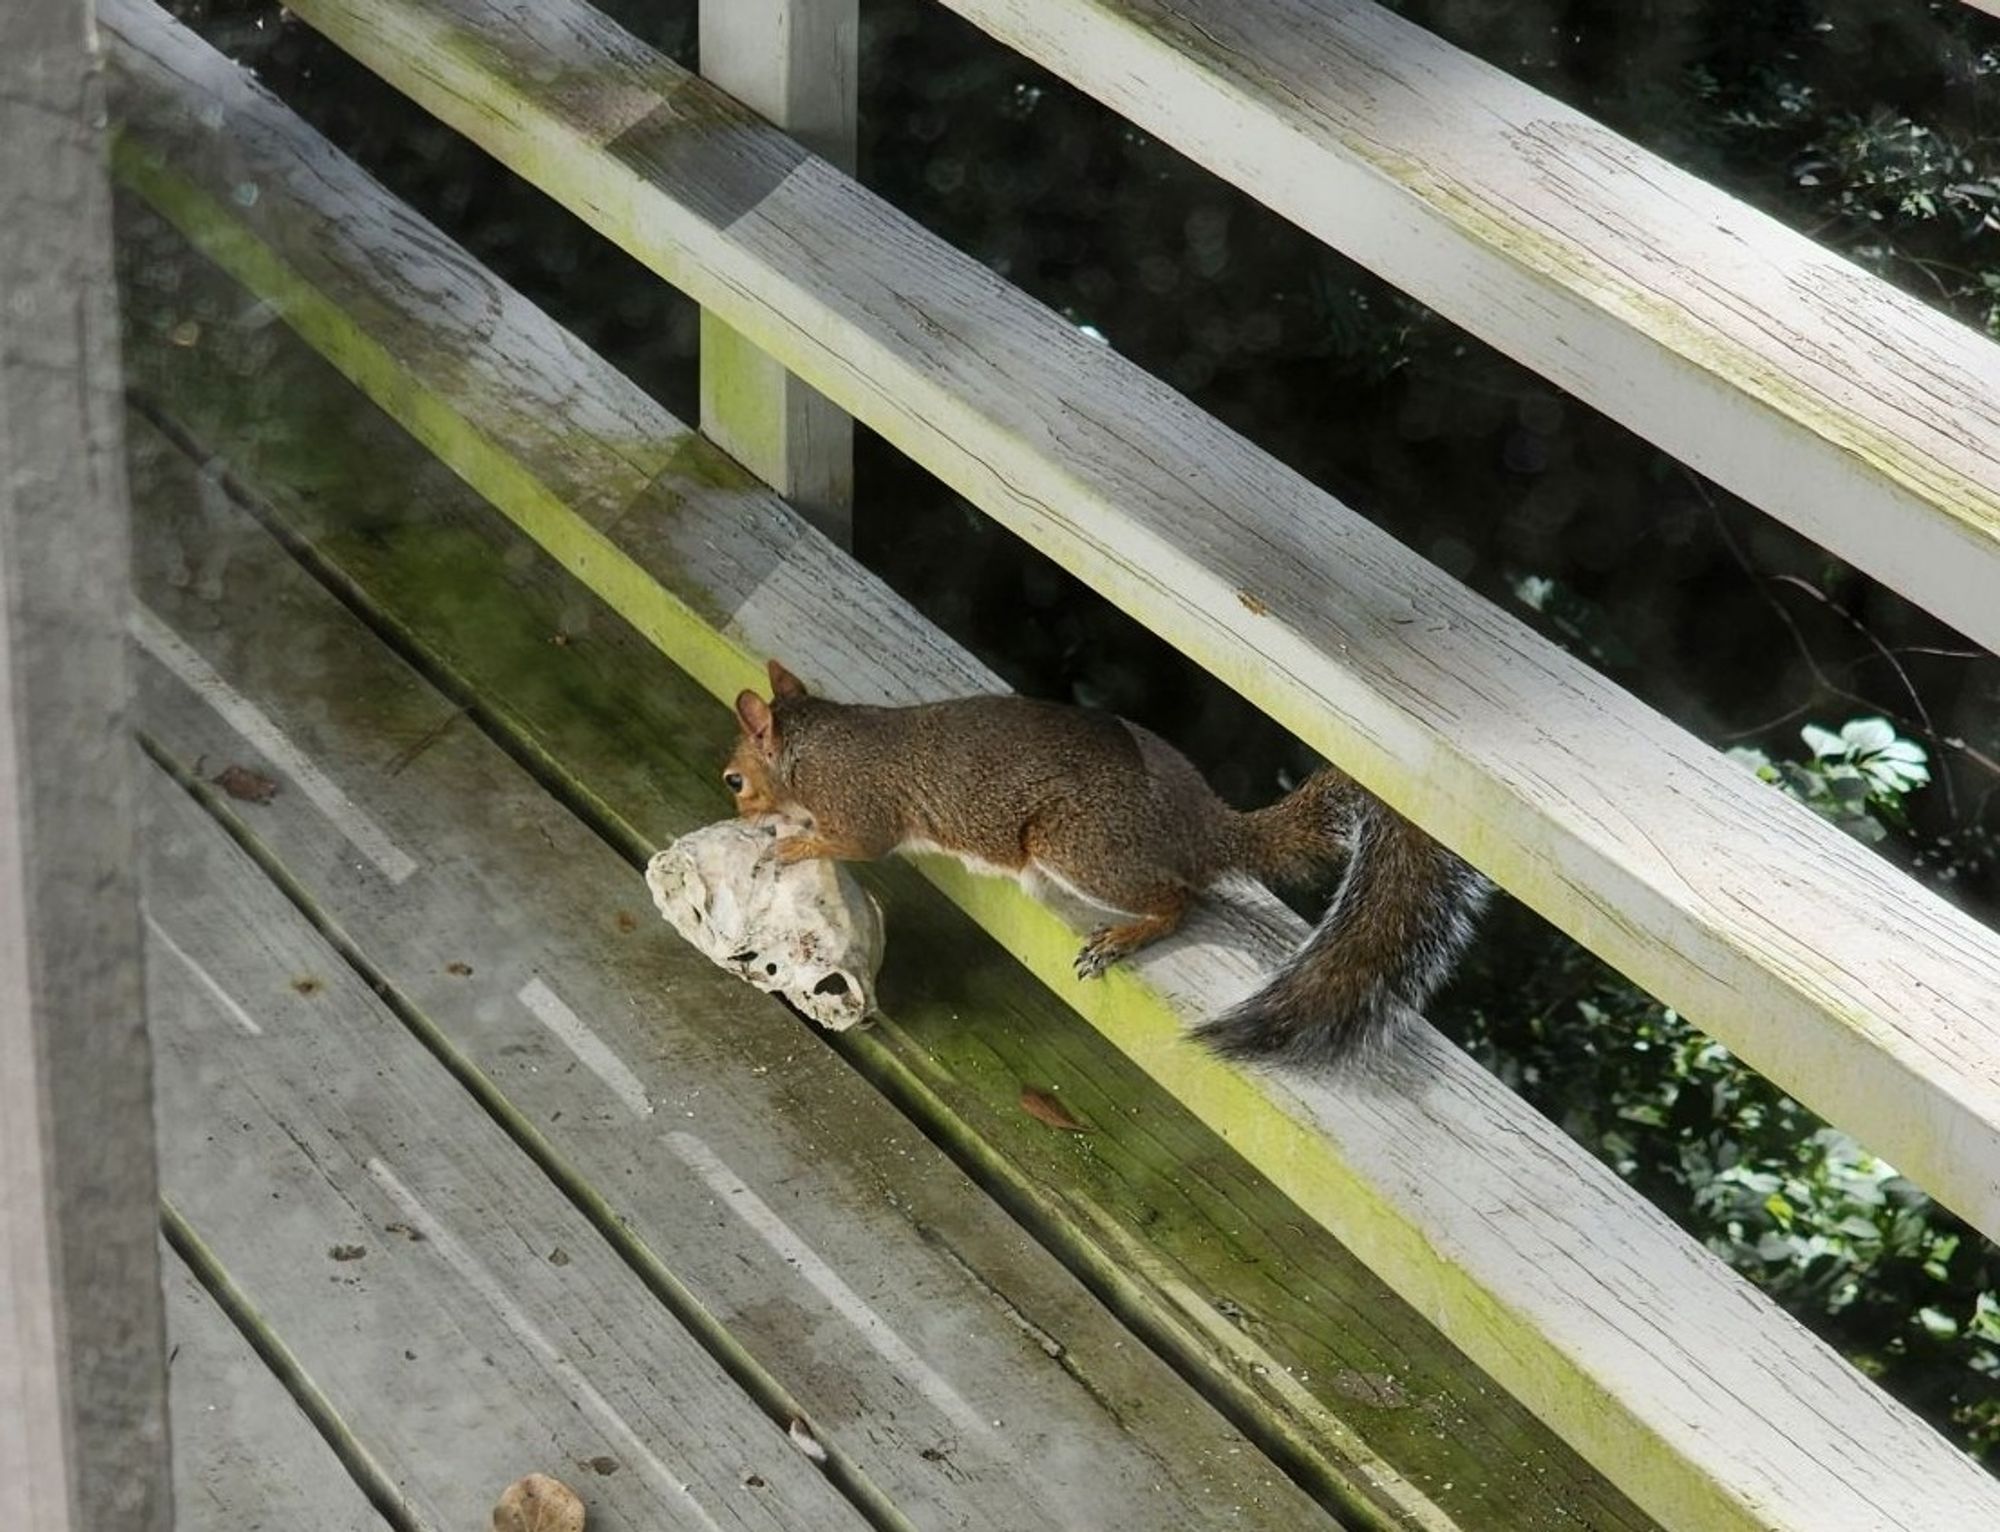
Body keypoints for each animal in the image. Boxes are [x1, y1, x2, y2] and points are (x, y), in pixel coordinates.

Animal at [728, 660, 1496, 1072]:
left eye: (736, 780)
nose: (729, 797)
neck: (817, 742)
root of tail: (1204, 830)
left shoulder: (860, 805)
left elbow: (856, 842)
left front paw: (790, 843)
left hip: (1080, 846)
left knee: (1181, 899)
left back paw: (1127, 934)